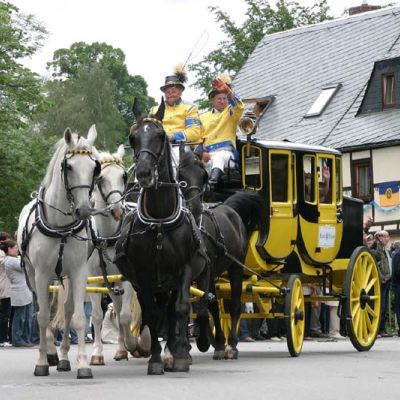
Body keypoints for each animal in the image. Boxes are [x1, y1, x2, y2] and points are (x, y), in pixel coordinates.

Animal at [17, 126, 100, 379]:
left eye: (94, 167)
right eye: (69, 166)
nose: (84, 210)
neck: (61, 227)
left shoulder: (79, 271)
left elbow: (79, 317)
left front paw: (83, 364)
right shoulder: (42, 274)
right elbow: (43, 316)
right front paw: (42, 361)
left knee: (67, 310)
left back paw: (62, 358)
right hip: (33, 276)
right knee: (43, 313)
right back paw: (52, 353)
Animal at [87, 146, 150, 366]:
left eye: (123, 176)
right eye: (99, 178)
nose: (117, 211)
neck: (108, 236)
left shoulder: (128, 278)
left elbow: (124, 317)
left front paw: (135, 345)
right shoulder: (95, 278)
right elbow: (98, 316)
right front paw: (97, 354)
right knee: (117, 305)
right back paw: (121, 349)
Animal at [115, 100, 210, 375]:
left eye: (160, 135)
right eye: (133, 137)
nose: (144, 173)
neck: (159, 220)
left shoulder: (184, 269)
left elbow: (180, 309)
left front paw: (178, 357)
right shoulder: (144, 274)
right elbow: (151, 314)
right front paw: (156, 359)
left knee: (174, 311)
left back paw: (178, 351)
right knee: (158, 312)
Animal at [177, 146, 264, 359]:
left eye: (203, 175)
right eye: (180, 175)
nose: (195, 207)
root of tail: (230, 208)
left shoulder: (203, 272)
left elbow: (204, 307)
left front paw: (203, 341)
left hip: (235, 267)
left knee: (235, 305)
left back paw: (231, 344)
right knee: (217, 305)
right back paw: (220, 343)